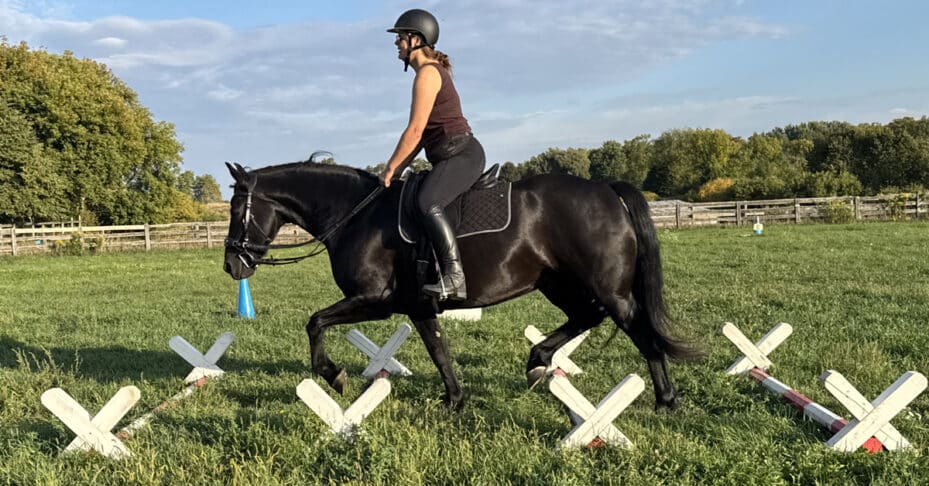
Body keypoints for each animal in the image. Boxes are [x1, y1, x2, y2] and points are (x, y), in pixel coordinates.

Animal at [222, 160, 698, 410]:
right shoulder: (418, 306)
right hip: (557, 283)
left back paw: (666, 400)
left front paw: (333, 375)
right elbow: (439, 350)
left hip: (606, 289)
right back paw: (537, 362)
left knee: (640, 332)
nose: (231, 264)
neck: (356, 215)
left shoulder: (373, 300)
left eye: (235, 209)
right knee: (586, 316)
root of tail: (606, 190)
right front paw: (454, 399)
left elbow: (315, 322)